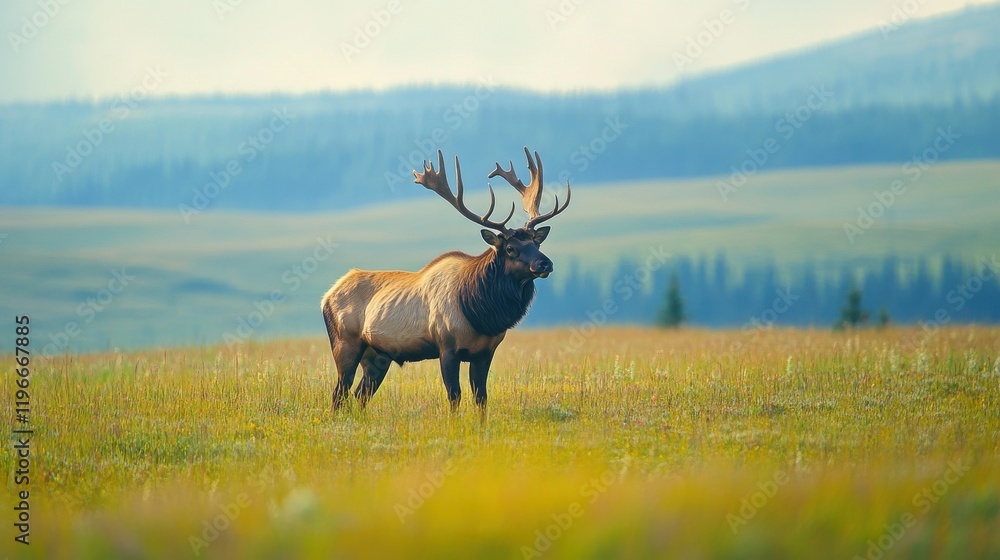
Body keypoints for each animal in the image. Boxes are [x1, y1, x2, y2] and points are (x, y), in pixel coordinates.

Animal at [320, 147, 571, 415]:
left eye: (536, 243)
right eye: (511, 248)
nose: (545, 264)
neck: (482, 313)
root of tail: (327, 295)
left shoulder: (485, 351)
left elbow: (481, 397)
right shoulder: (447, 346)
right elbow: (454, 395)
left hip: (378, 355)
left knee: (360, 394)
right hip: (345, 342)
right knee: (339, 392)